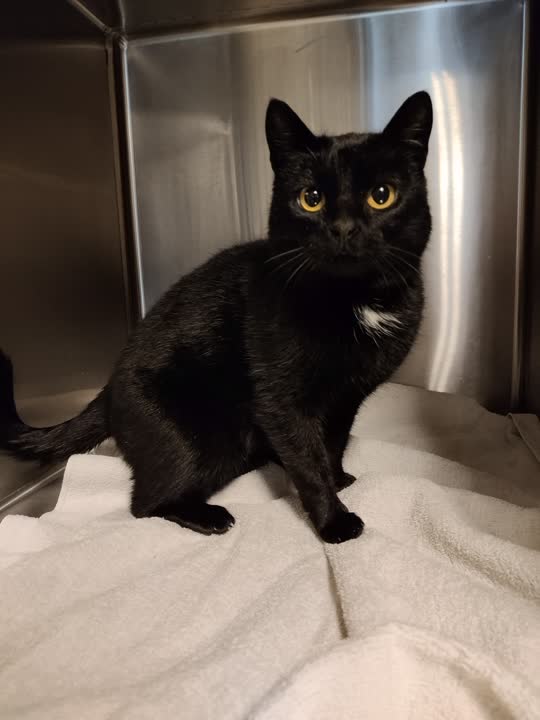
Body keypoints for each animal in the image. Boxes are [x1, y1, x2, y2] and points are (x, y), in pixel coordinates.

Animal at [0, 91, 432, 544]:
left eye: (381, 195)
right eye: (310, 199)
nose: (344, 228)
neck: (354, 300)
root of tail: (108, 388)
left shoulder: (346, 398)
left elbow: (330, 447)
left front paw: (338, 479)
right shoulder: (282, 401)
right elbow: (309, 462)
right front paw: (334, 522)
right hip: (199, 438)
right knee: (146, 504)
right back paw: (210, 516)